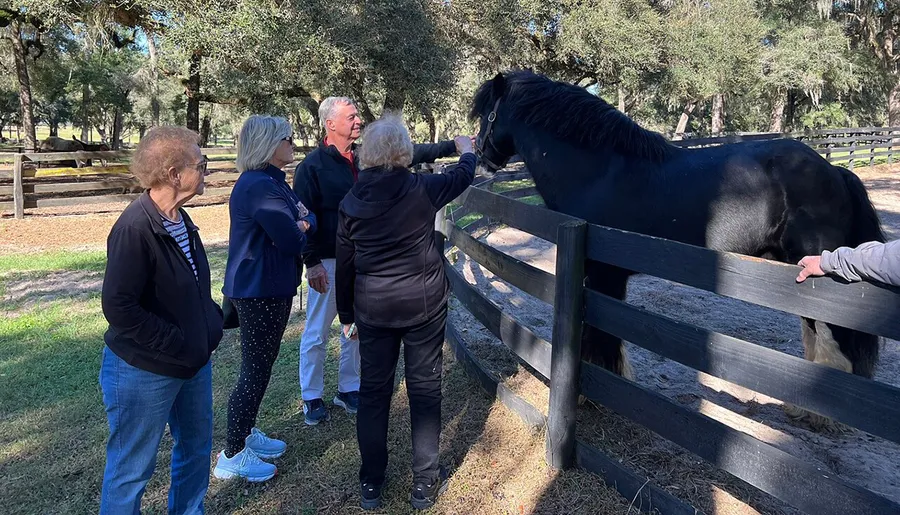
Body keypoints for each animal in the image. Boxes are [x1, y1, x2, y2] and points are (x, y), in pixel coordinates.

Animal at [469, 70, 886, 430]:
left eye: (486, 115)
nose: (481, 157)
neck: (599, 171)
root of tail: (835, 172)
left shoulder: (603, 273)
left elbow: (600, 334)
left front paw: (595, 391)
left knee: (830, 339)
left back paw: (818, 416)